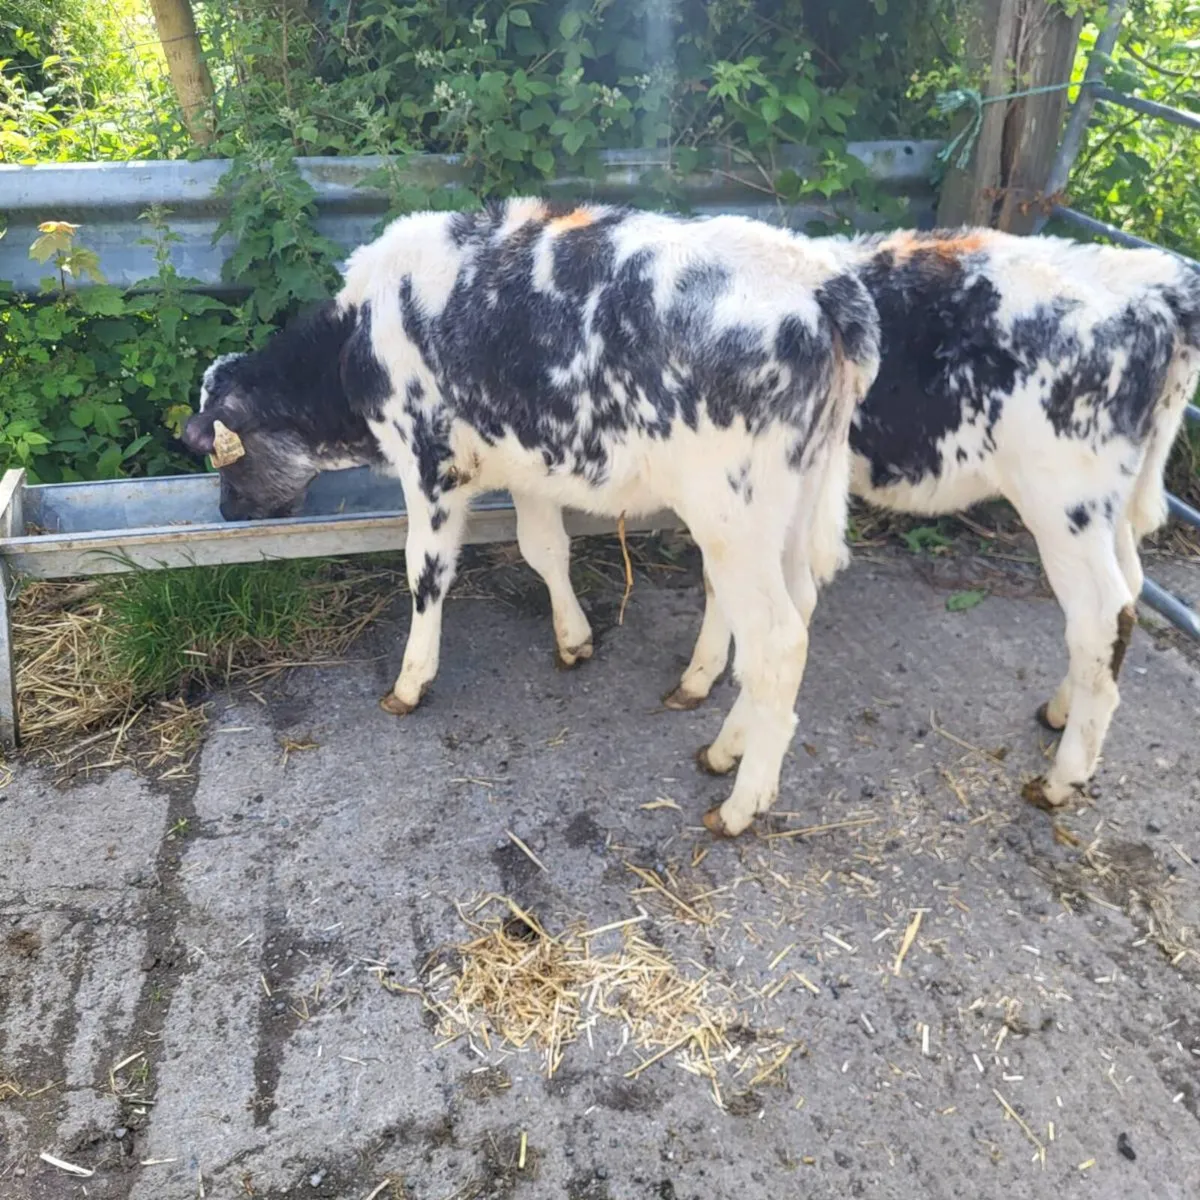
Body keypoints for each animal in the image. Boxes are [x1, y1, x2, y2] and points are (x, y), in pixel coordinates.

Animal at [182, 198, 882, 837]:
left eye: (221, 454)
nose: (225, 509)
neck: (361, 338)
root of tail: (820, 281)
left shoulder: (430, 463)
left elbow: (425, 572)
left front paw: (409, 683)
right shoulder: (526, 464)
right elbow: (542, 548)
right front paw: (574, 639)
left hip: (734, 510)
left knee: (778, 641)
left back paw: (741, 802)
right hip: (783, 506)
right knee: (788, 605)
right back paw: (722, 738)